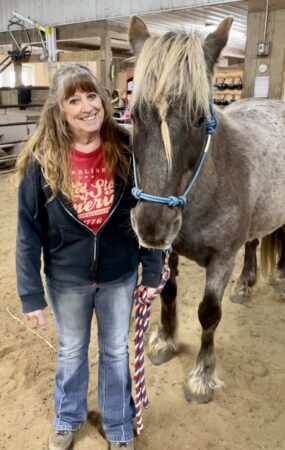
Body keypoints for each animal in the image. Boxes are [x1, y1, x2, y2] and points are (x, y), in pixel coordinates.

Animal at [127, 16, 284, 404]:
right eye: (134, 116)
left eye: (200, 118)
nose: (152, 226)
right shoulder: (168, 252)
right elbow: (168, 294)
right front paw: (164, 341)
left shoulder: (222, 259)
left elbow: (208, 314)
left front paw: (202, 375)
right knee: (254, 243)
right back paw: (245, 284)